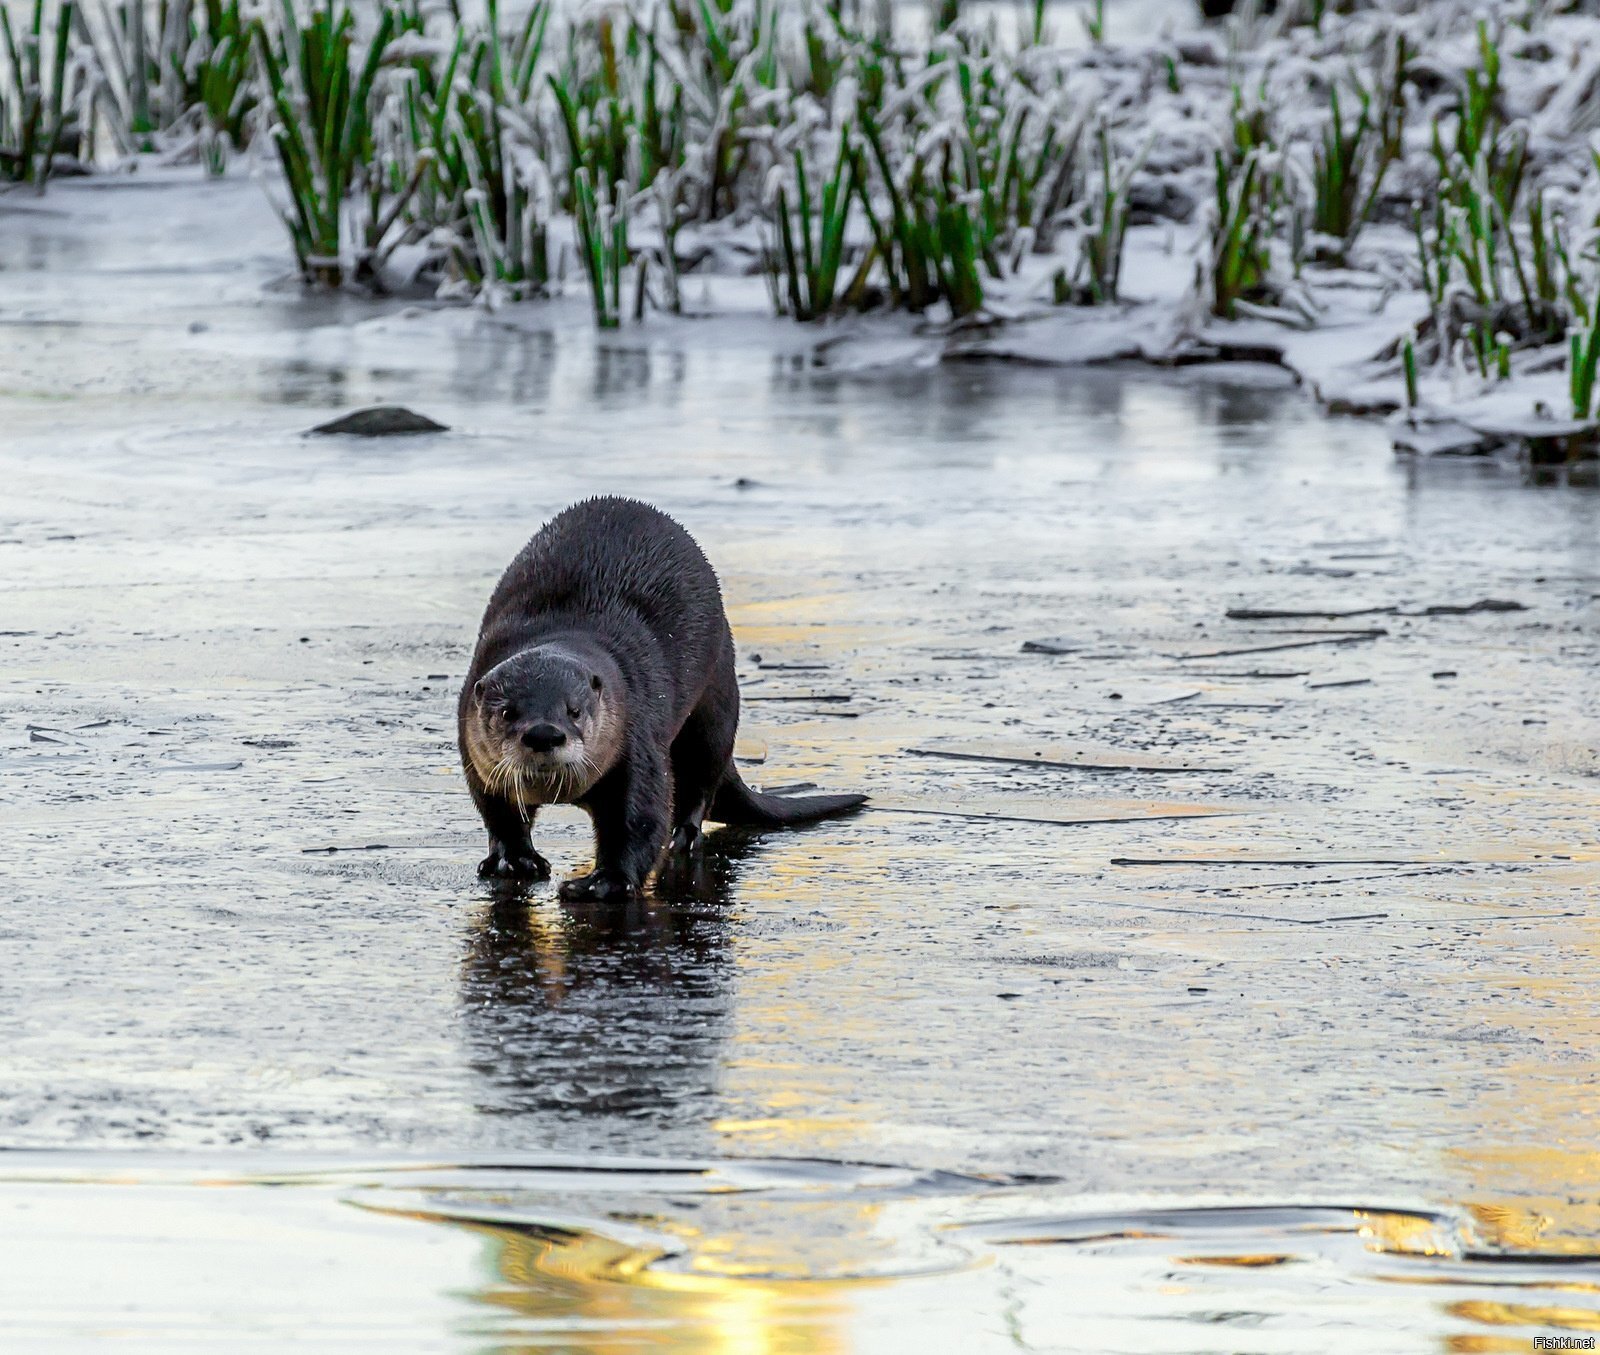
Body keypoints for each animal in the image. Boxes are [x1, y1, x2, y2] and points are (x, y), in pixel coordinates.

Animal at [457, 499, 870, 902]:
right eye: (507, 712)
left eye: (574, 710)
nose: (544, 734)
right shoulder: (474, 755)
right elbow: (499, 812)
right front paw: (515, 859)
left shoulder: (635, 741)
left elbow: (639, 818)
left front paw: (605, 881)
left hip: (715, 704)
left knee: (700, 780)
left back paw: (683, 836)